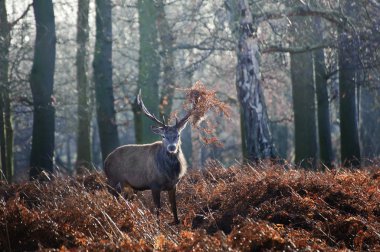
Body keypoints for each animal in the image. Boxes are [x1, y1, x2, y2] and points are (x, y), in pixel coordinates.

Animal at [103, 90, 190, 224]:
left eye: (178, 135)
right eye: (163, 136)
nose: (171, 147)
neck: (170, 173)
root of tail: (106, 161)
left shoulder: (174, 185)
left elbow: (174, 207)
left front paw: (176, 222)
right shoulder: (154, 184)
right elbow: (157, 208)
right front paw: (158, 225)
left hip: (126, 185)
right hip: (113, 179)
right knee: (113, 196)